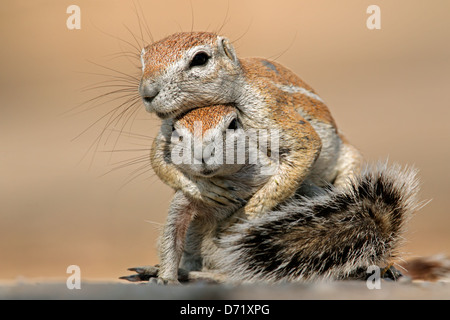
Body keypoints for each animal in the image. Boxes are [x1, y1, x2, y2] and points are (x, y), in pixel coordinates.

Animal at [120, 104, 422, 282]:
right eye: (176, 132)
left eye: (232, 125)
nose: (203, 154)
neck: (225, 178)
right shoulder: (186, 200)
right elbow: (172, 237)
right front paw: (166, 276)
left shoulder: (276, 176)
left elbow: (292, 191)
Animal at [140, 31, 362, 219]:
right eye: (142, 61)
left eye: (200, 59)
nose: (146, 92)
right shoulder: (167, 125)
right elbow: (158, 159)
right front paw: (204, 188)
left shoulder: (266, 104)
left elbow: (307, 144)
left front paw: (243, 216)